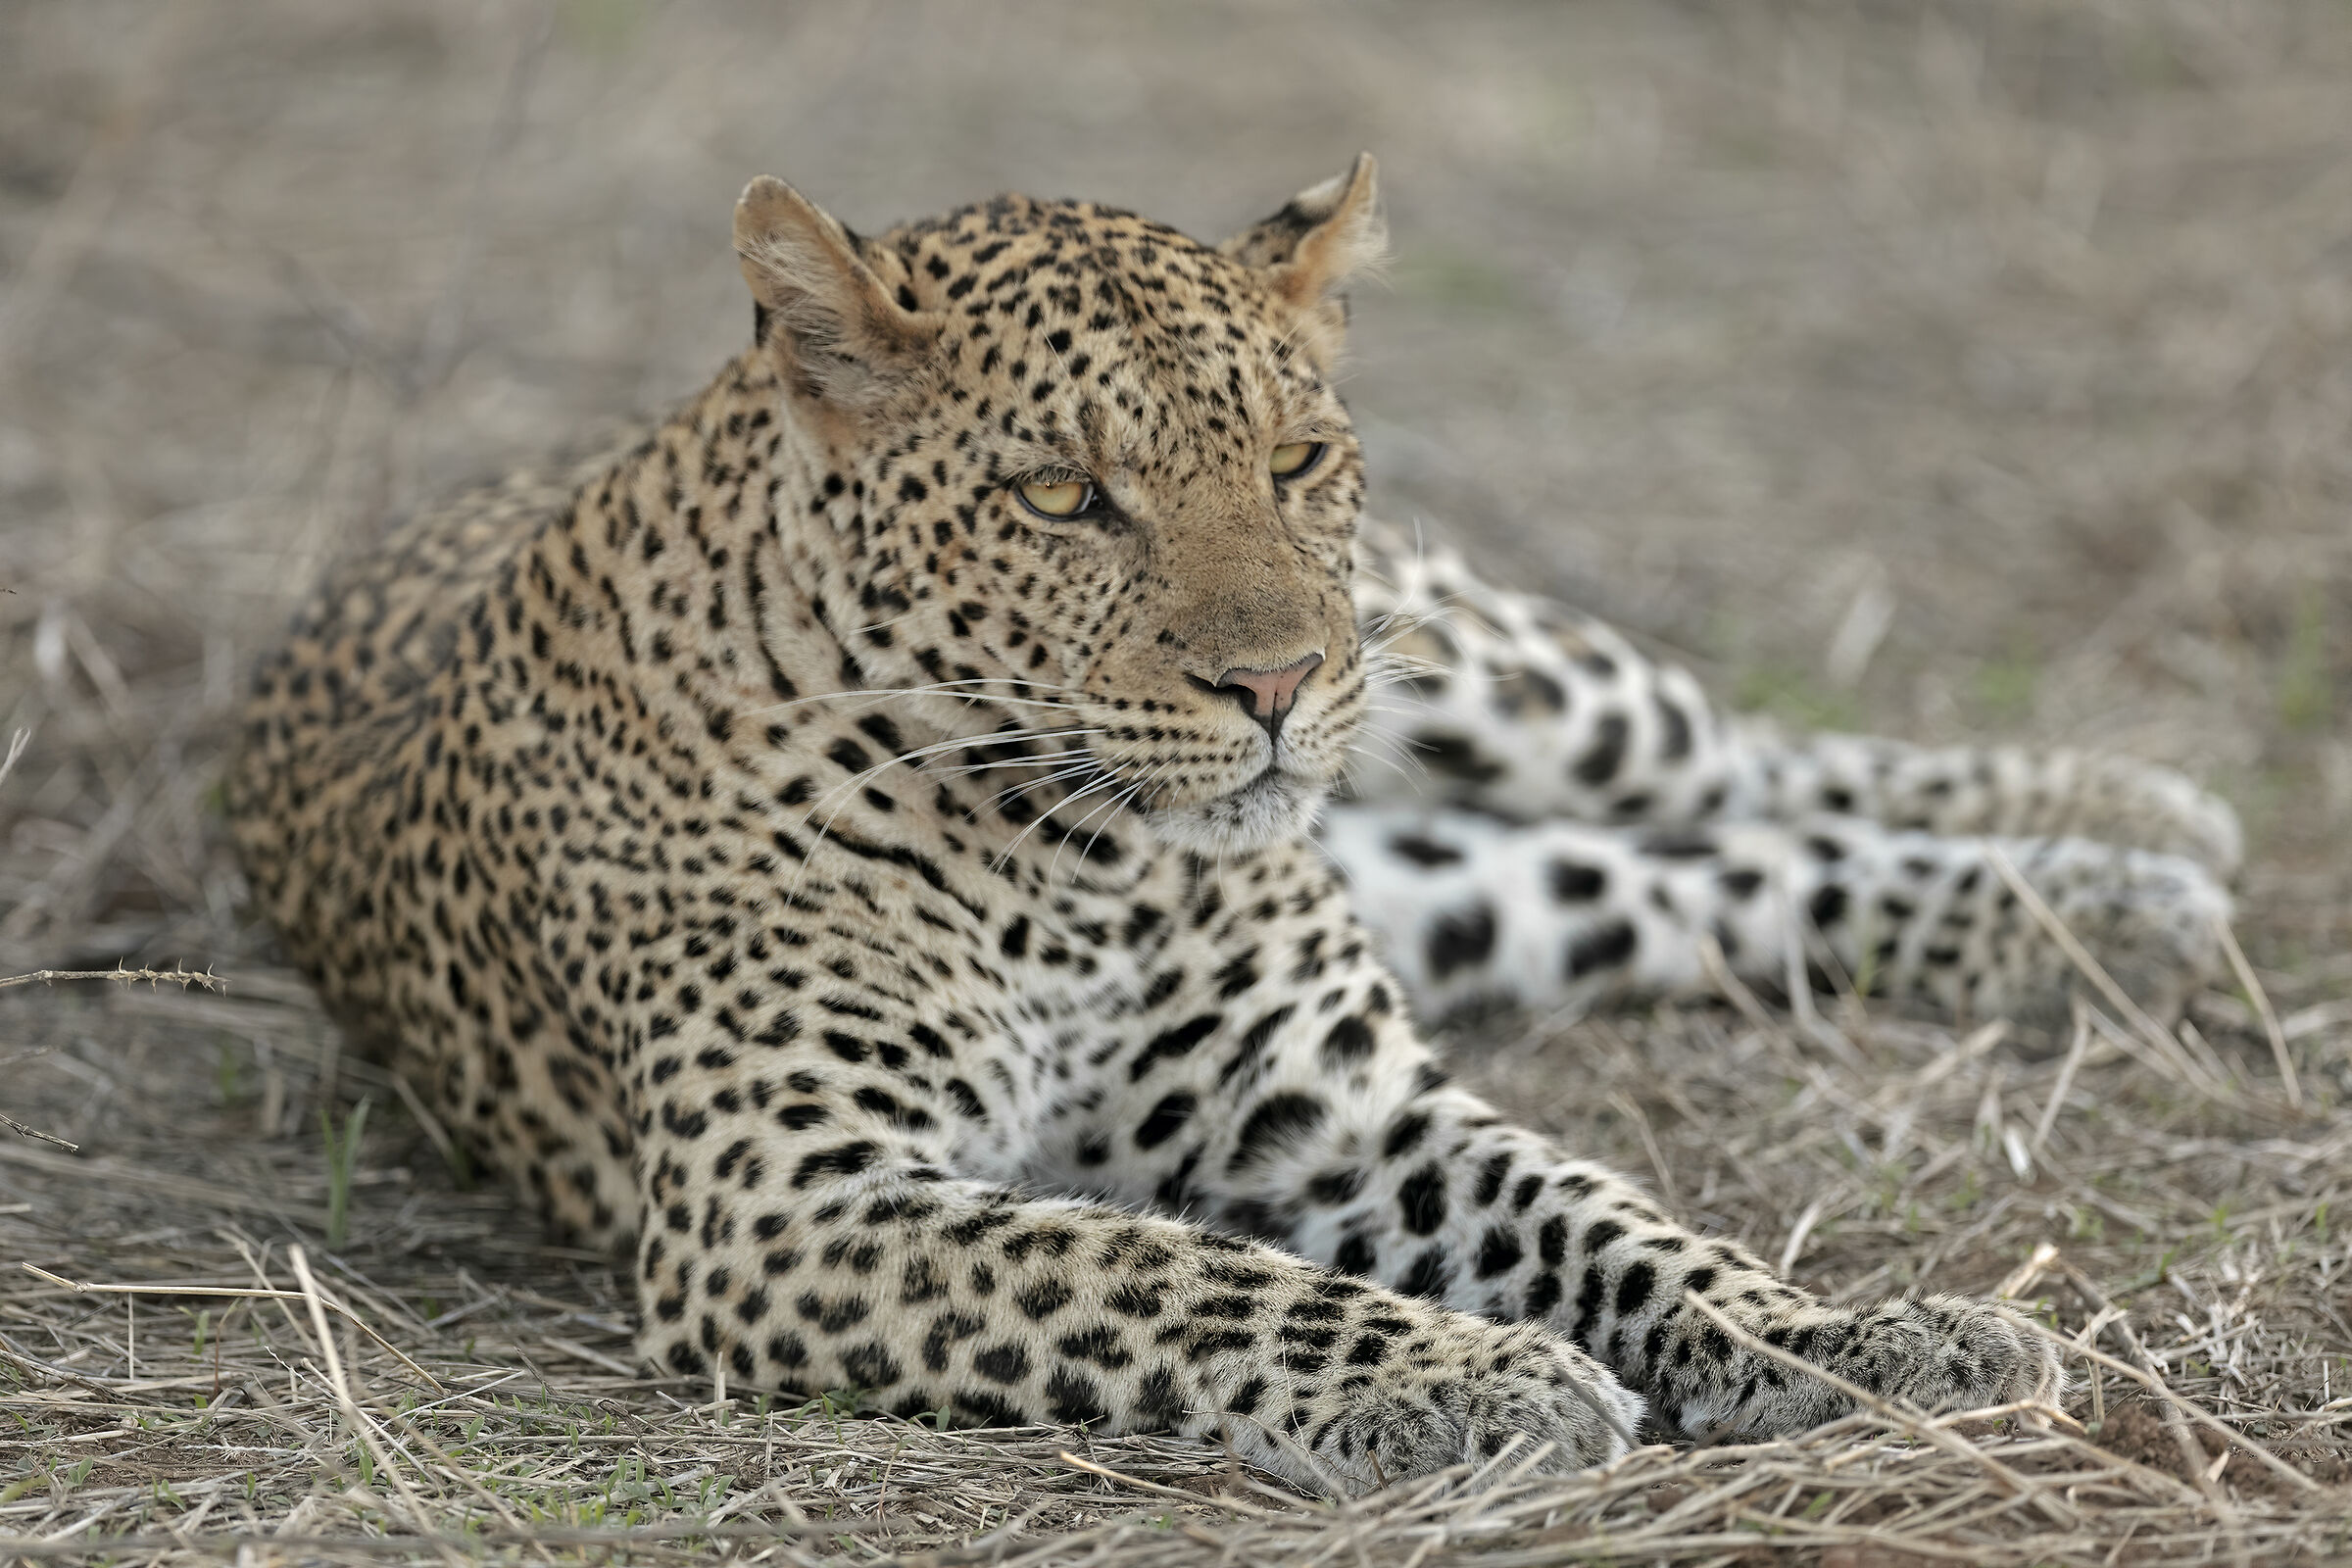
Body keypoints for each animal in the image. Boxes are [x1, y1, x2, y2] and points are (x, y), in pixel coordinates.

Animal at [230, 156, 2240, 1496]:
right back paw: (2115, 903)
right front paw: (1489, 1381)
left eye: (1292, 462)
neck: (1075, 866)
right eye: (1062, 495)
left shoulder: (1343, 1099)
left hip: (1494, 669)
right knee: (1687, 879)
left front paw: (1836, 1336)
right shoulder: (789, 1204)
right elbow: (1171, 1275)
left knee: (1726, 753)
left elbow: (1616, 1224)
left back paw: (2136, 830)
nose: (1276, 684)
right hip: (1477, 878)